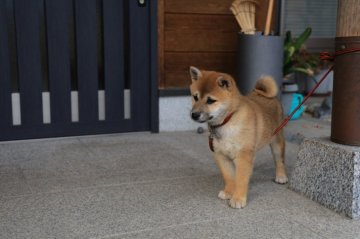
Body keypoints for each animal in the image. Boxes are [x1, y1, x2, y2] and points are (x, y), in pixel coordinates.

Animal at [188, 66, 286, 208]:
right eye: (195, 97)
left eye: (210, 100)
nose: (194, 114)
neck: (227, 121)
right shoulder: (220, 155)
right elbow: (229, 176)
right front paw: (229, 192)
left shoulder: (243, 155)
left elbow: (241, 179)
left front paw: (238, 198)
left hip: (276, 141)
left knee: (279, 160)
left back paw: (281, 176)